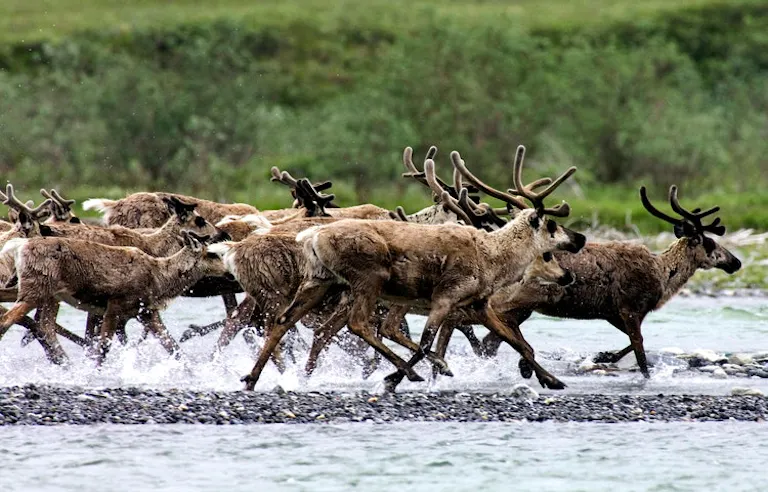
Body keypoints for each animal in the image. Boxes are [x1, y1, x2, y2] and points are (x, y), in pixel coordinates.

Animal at [0, 231, 227, 364]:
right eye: (212, 254)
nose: (229, 271)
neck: (159, 279)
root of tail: (19, 245)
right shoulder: (115, 305)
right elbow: (103, 347)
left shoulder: (146, 312)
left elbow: (174, 348)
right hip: (37, 289)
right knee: (7, 320)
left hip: (44, 294)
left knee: (43, 326)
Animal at [238, 144, 586, 392]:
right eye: (552, 227)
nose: (580, 238)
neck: (493, 257)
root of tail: (312, 235)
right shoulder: (445, 298)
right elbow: (425, 343)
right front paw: (397, 378)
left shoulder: (479, 305)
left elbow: (518, 343)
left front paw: (552, 379)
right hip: (368, 280)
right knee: (359, 324)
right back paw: (407, 373)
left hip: (322, 282)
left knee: (283, 322)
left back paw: (253, 378)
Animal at [474, 185, 741, 380]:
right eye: (709, 243)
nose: (736, 262)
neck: (663, 275)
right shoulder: (631, 309)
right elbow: (640, 349)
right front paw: (633, 371)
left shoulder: (613, 313)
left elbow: (634, 345)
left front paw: (602, 356)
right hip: (521, 300)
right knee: (495, 329)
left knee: (490, 342)